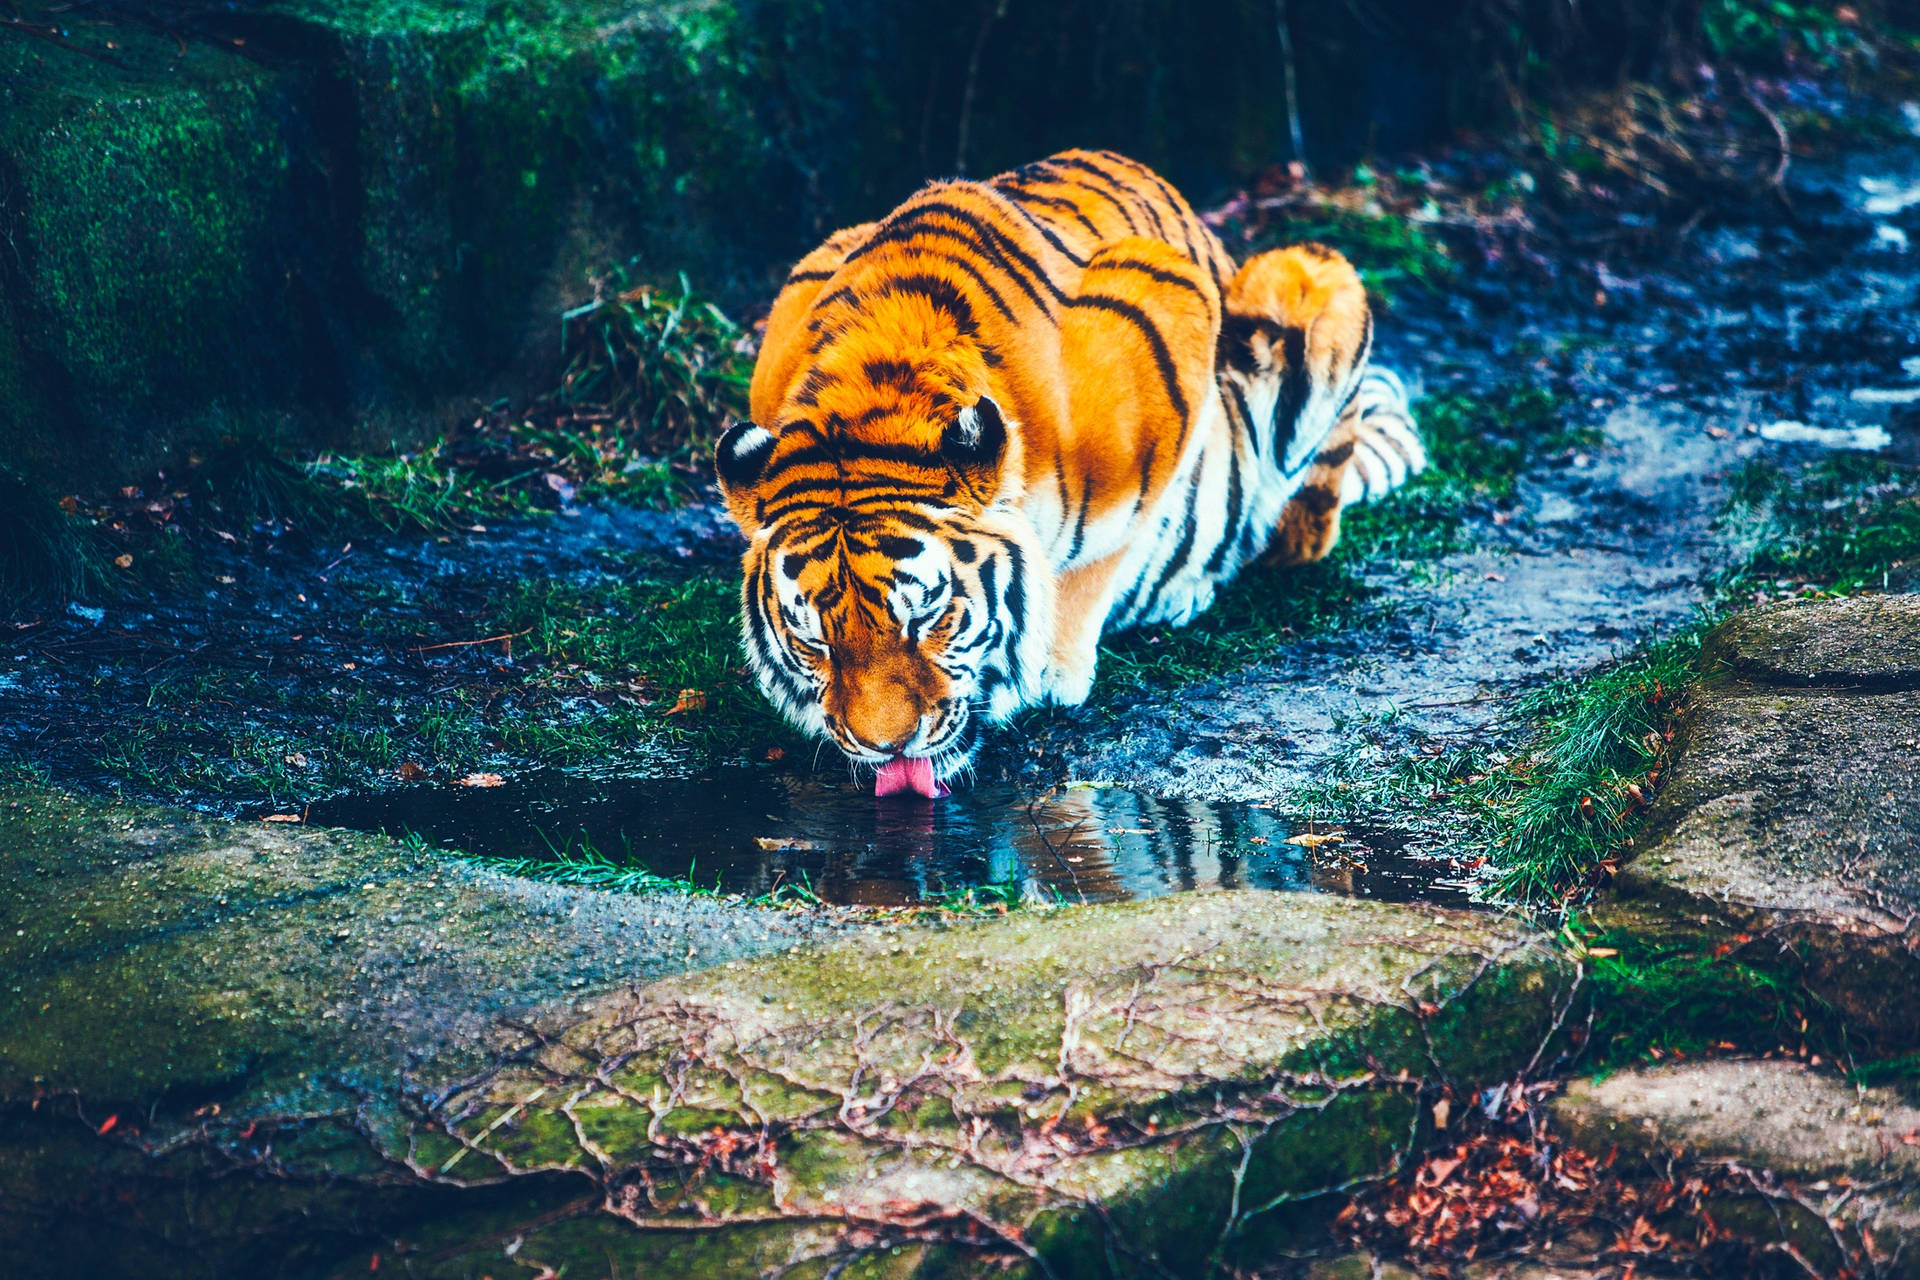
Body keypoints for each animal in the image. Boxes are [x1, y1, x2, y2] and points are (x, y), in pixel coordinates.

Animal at [714, 147, 1420, 790]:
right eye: (814, 641)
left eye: (928, 619)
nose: (886, 746)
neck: (875, 388)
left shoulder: (1172, 313)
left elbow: (1103, 551)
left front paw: (1054, 669)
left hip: (1304, 276)